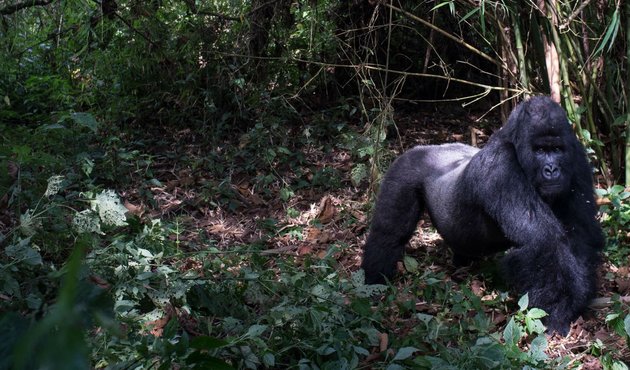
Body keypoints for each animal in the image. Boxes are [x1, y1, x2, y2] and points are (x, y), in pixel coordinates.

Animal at [366, 96, 608, 336]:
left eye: (557, 149)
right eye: (540, 150)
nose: (551, 169)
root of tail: (425, 147)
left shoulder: (576, 156)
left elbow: (581, 231)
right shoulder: (500, 168)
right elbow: (543, 242)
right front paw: (558, 312)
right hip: (404, 167)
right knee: (388, 234)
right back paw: (373, 281)